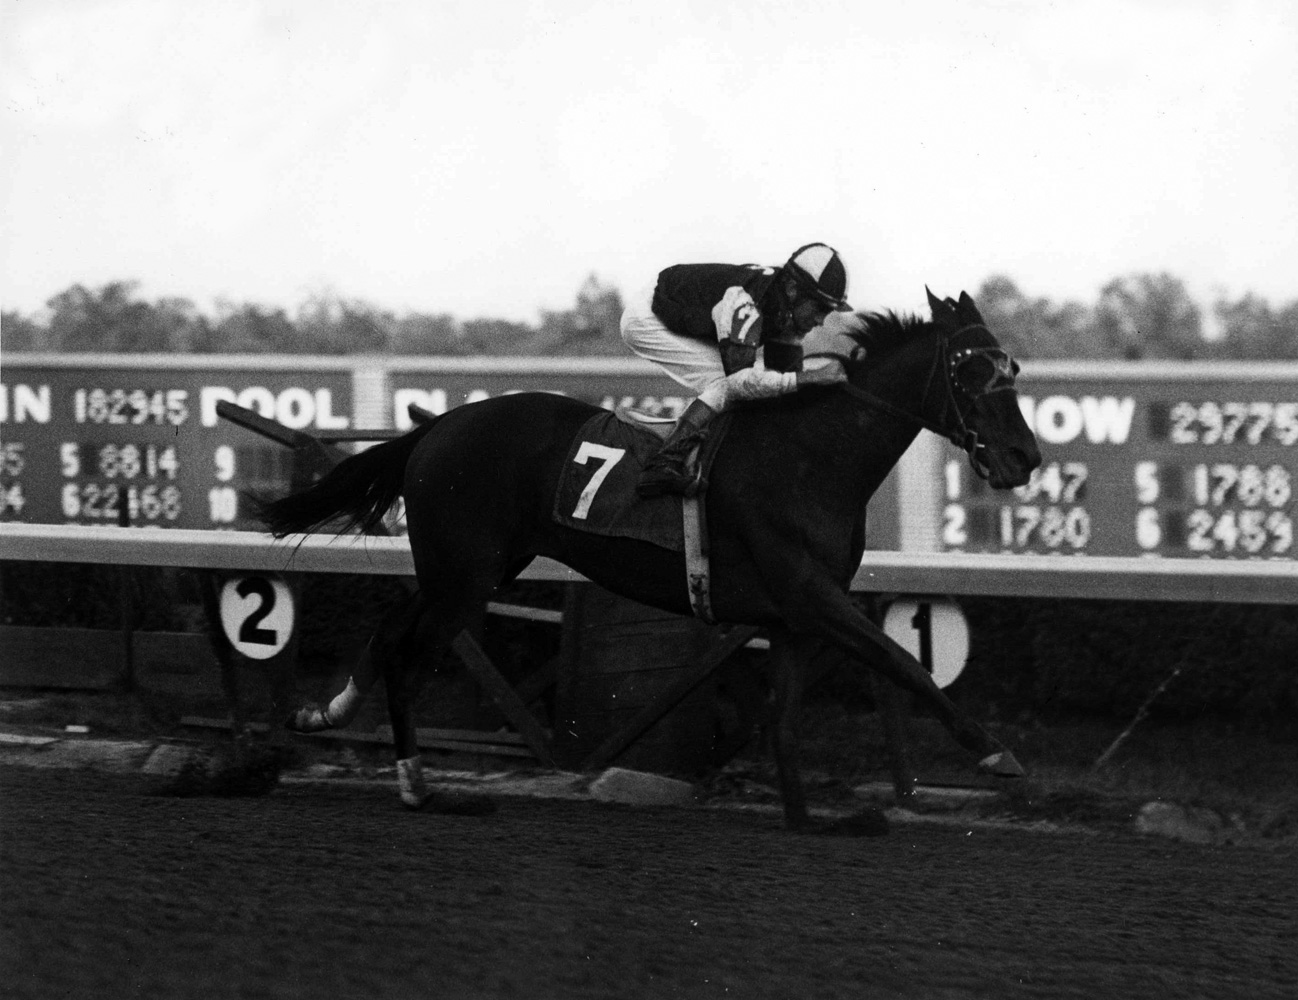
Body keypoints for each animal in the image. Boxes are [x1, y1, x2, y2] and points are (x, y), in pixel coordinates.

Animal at [258, 285, 1038, 825]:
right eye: (969, 372)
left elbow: (784, 716)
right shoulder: (811, 595)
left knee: (390, 635)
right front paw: (998, 755)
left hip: (466, 566)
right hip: (466, 575)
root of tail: (439, 426)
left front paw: (808, 820)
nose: (1025, 457)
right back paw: (420, 789)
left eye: (1013, 367)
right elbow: (901, 660)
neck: (812, 459)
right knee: (408, 656)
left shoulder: (792, 617)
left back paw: (323, 715)